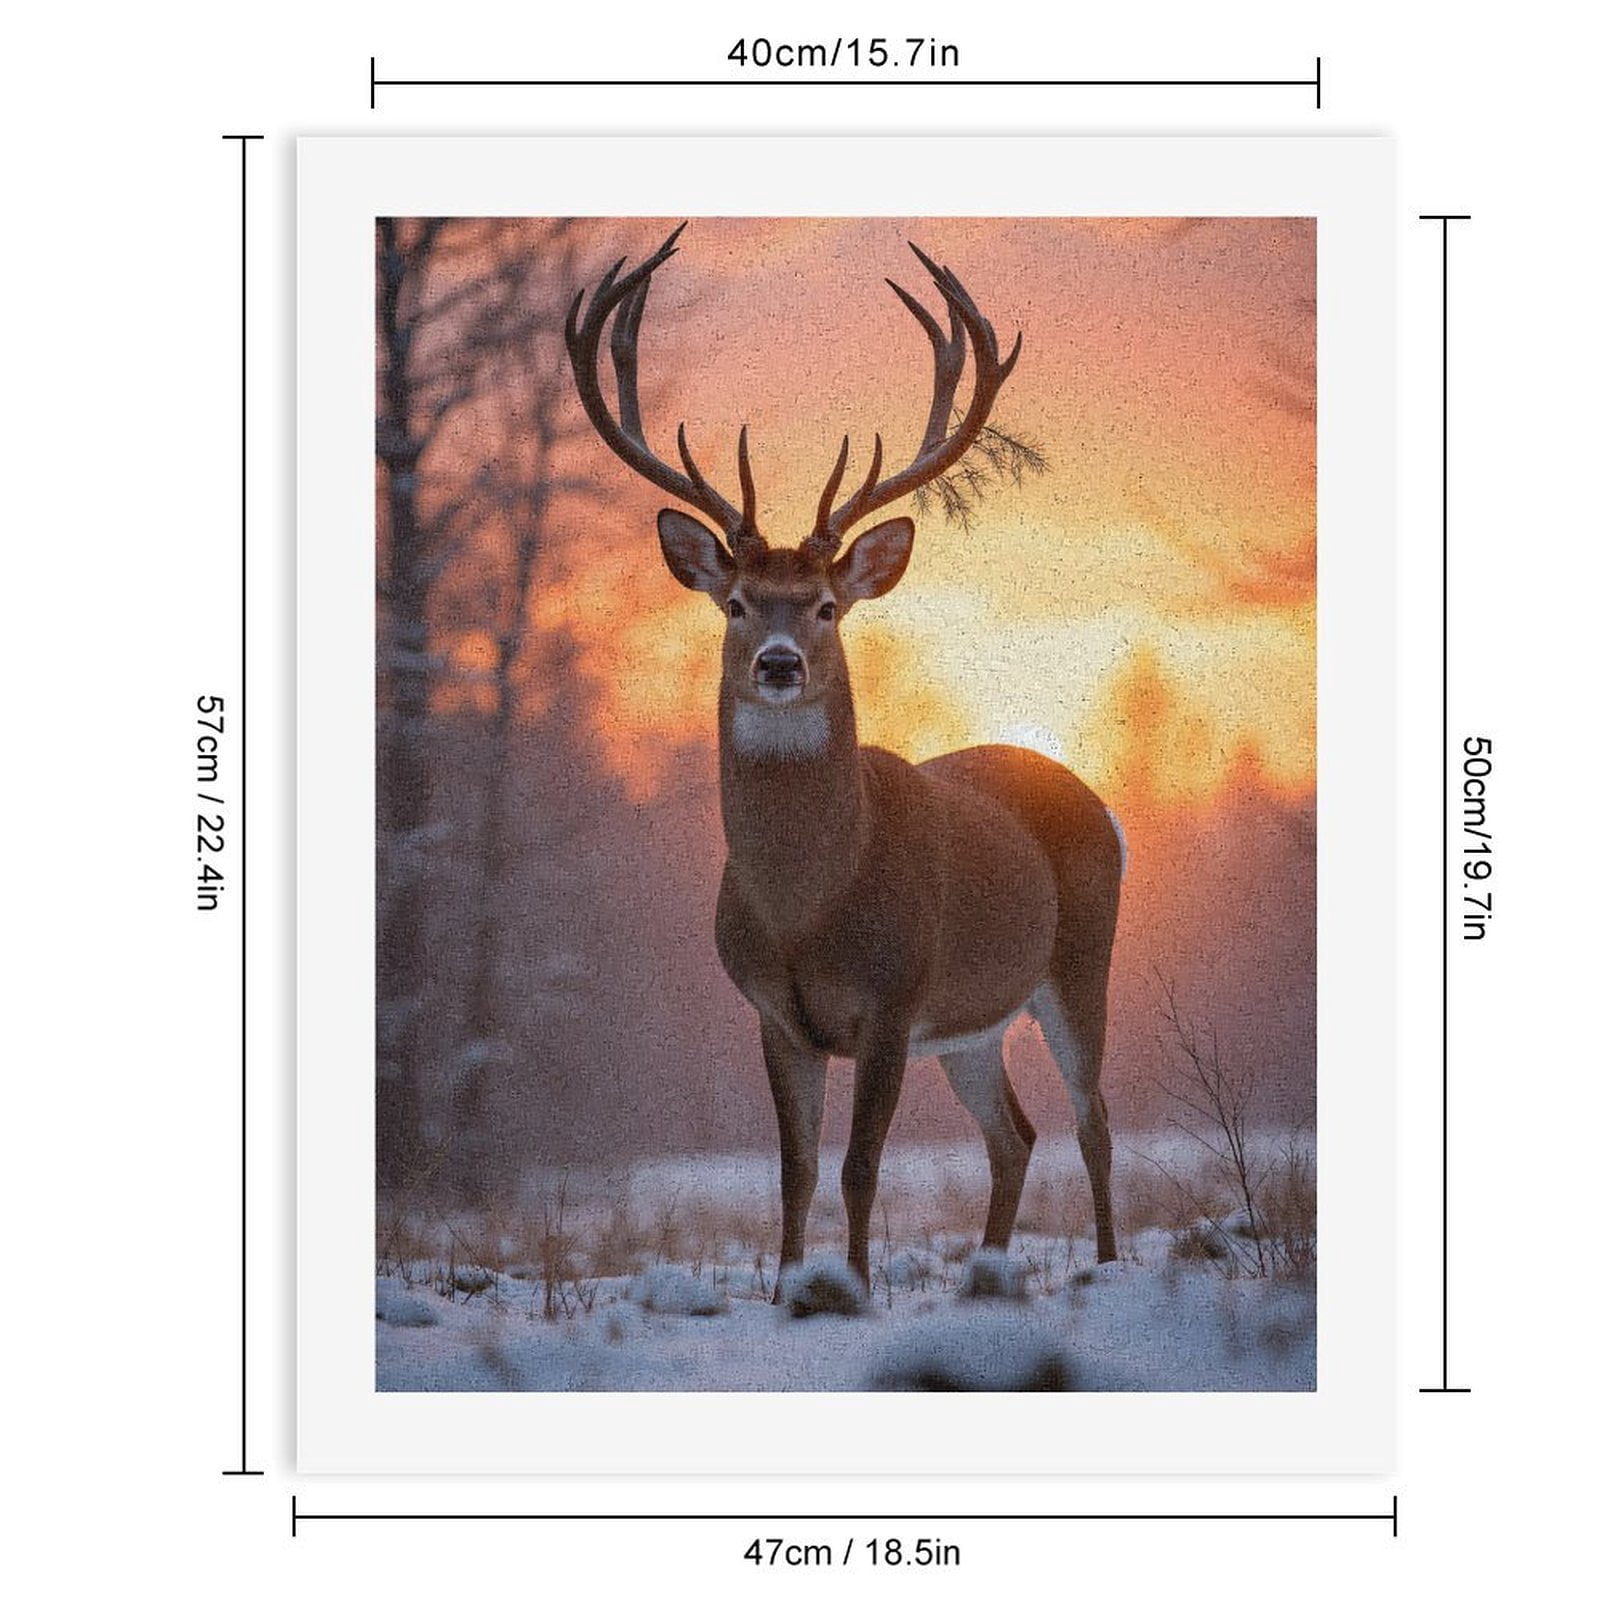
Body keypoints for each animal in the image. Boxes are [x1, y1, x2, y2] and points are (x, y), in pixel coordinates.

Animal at [565, 226, 1123, 1299]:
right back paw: (988, 1273)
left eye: (827, 605)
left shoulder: (895, 1000)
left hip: (1079, 960)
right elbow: (792, 1170)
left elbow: (861, 1167)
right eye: (736, 604)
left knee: (1093, 1123)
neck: (807, 907)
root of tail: (1091, 794)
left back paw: (1113, 1270)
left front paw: (853, 1291)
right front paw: (789, 1290)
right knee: (1016, 1135)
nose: (780, 663)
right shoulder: (777, 1015)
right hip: (975, 1022)